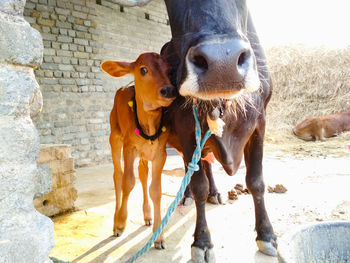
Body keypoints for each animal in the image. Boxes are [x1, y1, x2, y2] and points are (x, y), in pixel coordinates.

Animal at [101, 53, 178, 250]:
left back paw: (147, 215)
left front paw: (159, 236)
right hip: (114, 136)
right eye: (143, 69)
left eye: (169, 70)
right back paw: (116, 218)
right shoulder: (129, 147)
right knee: (118, 175)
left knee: (143, 173)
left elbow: (156, 190)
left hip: (144, 154)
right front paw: (120, 222)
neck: (149, 124)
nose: (169, 90)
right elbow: (128, 182)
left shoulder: (160, 153)